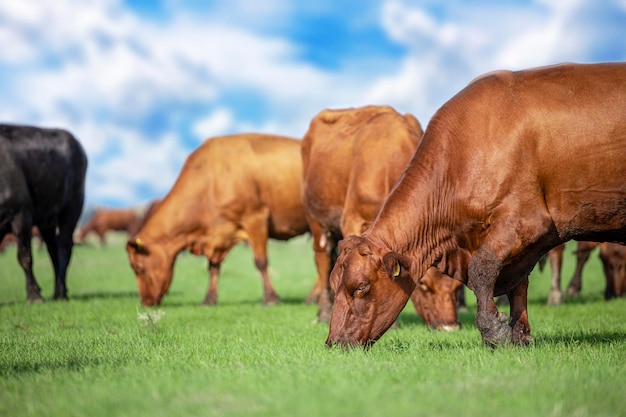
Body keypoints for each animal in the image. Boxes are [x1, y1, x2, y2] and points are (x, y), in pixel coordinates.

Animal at [0, 123, 88, 302]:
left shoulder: (22, 215)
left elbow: (24, 256)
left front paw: (34, 295)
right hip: (46, 220)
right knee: (53, 249)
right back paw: (58, 291)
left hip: (72, 208)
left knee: (64, 247)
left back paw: (60, 293)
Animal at [125, 133, 320, 306]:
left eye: (138, 267)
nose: (145, 302)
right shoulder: (217, 235)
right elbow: (213, 266)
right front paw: (209, 299)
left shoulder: (255, 218)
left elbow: (261, 262)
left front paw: (270, 298)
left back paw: (312, 298)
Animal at [300, 105, 460, 328]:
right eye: (424, 284)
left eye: (457, 287)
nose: (450, 327)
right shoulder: (352, 221)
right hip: (316, 220)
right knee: (322, 258)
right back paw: (323, 312)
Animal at [324, 62, 624, 348]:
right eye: (334, 284)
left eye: (361, 287)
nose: (334, 342)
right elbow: (518, 285)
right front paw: (520, 336)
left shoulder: (526, 222)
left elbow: (483, 268)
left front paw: (494, 331)